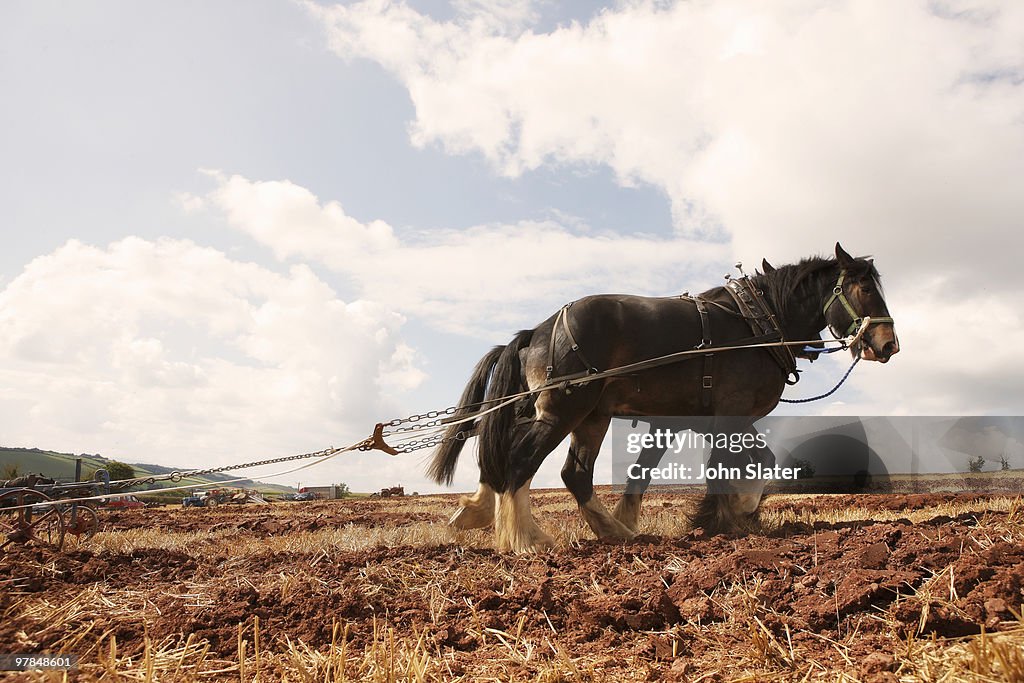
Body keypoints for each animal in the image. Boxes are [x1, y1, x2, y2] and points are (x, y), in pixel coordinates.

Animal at [423, 242, 897, 552]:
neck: (758, 323)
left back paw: (612, 532)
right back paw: (525, 539)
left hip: (586, 416)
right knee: (519, 459)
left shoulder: (687, 421)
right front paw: (736, 512)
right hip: (563, 409)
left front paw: (725, 516)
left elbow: (655, 473)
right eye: (865, 290)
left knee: (561, 469)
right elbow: (747, 465)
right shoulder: (731, 414)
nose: (888, 344)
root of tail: (537, 331)